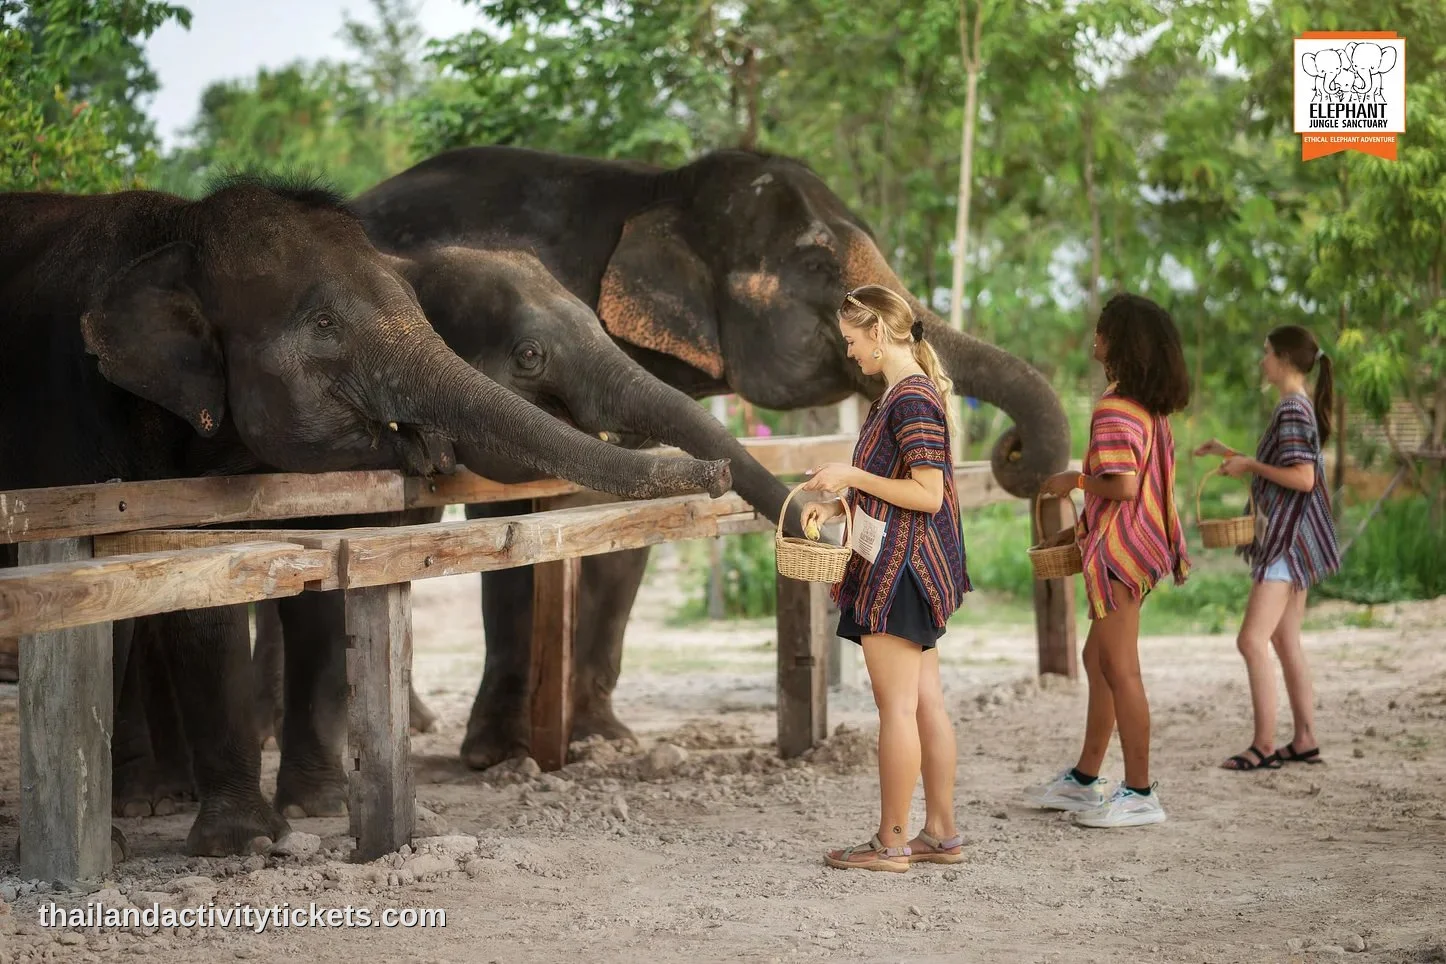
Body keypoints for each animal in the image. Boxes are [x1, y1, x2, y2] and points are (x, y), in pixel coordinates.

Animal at [0, 175, 732, 855]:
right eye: (529, 356)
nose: (722, 474)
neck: (180, 229)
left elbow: (313, 586)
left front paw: (314, 811)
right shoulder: (72, 416)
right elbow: (165, 594)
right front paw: (247, 842)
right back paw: (143, 806)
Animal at [348, 145, 1073, 768]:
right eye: (818, 268)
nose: (1012, 450)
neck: (655, 189)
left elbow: (619, 538)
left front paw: (604, 740)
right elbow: (522, 521)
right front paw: (497, 757)